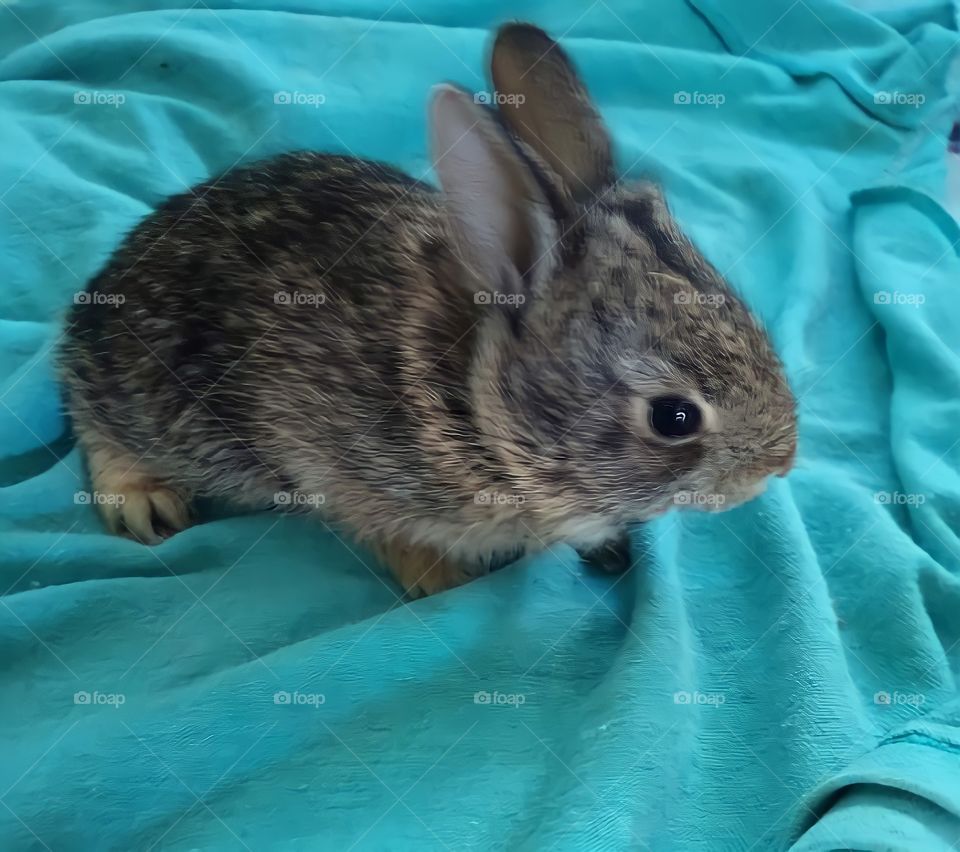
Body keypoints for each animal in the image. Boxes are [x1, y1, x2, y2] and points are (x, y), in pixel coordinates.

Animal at [59, 23, 797, 597]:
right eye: (674, 417)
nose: (778, 466)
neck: (479, 405)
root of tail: (111, 277)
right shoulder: (330, 462)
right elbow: (383, 529)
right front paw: (440, 578)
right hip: (152, 401)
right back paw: (142, 499)